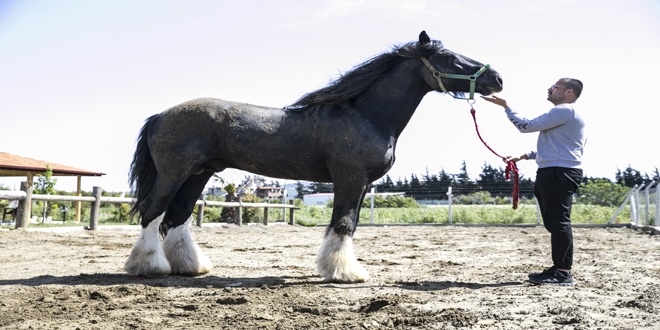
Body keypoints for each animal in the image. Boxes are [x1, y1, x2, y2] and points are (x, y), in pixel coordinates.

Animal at [126, 31, 502, 282]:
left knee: (178, 217)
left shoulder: (361, 184)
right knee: (154, 212)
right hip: (175, 173)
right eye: (450, 58)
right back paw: (148, 266)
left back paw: (191, 267)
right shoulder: (350, 179)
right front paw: (345, 273)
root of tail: (159, 116)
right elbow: (343, 224)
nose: (497, 79)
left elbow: (346, 223)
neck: (367, 114)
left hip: (198, 174)